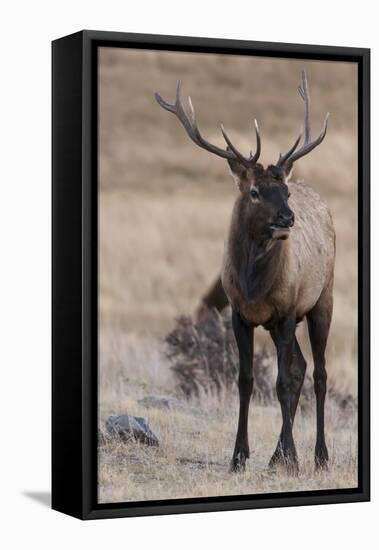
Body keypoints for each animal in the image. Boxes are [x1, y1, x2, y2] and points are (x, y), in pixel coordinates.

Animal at [156, 70, 336, 474]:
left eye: (284, 191)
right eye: (254, 191)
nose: (287, 217)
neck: (255, 285)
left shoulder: (285, 311)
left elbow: (281, 382)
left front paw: (293, 458)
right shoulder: (241, 313)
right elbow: (246, 380)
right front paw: (239, 456)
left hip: (321, 301)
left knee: (318, 373)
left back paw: (319, 456)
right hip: (282, 320)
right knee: (301, 366)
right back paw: (276, 456)